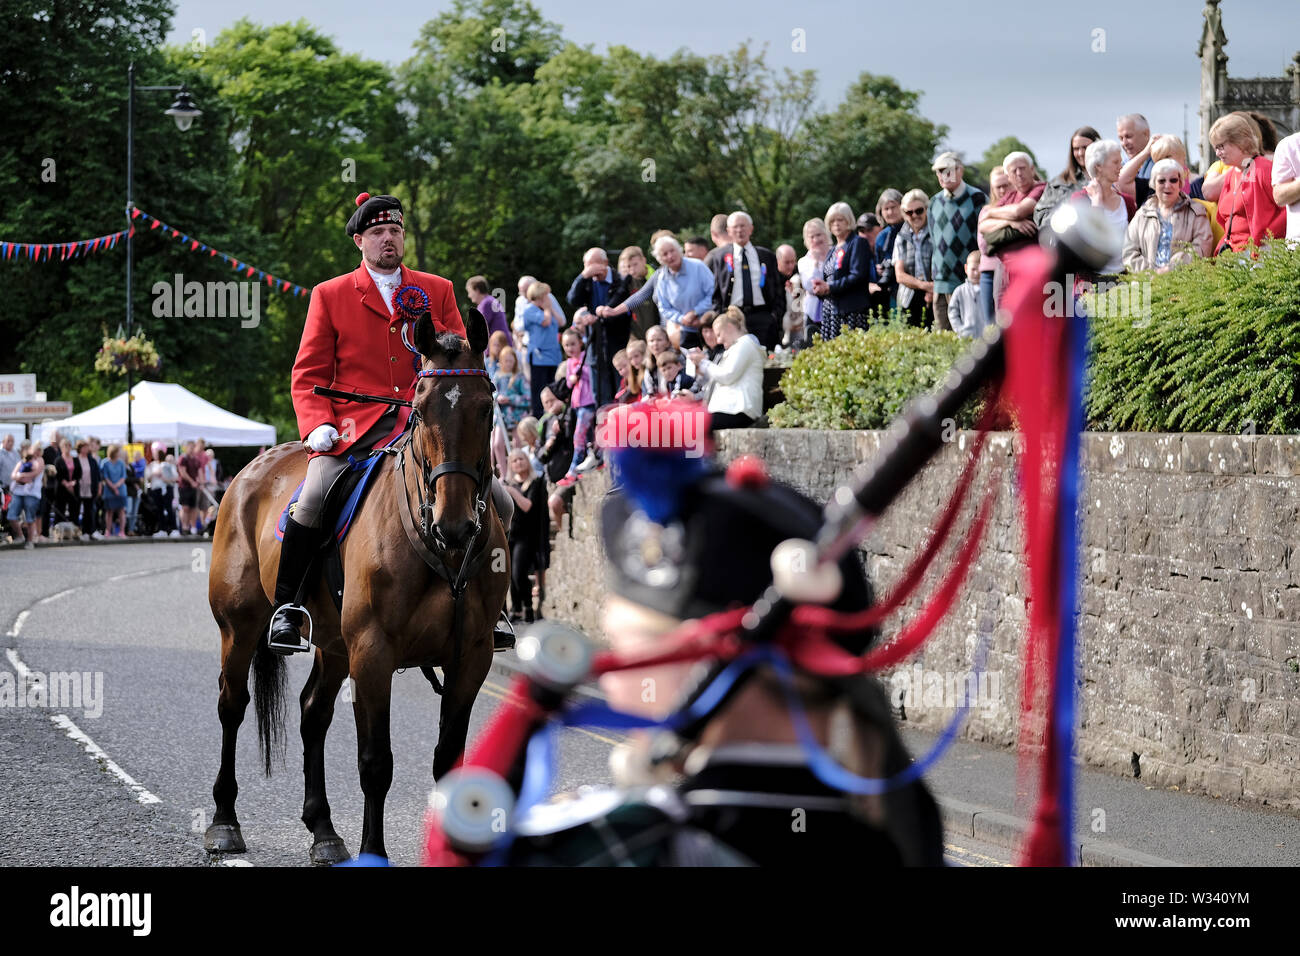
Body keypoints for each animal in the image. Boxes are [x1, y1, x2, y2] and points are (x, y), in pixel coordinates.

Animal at [202, 310, 506, 863]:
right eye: (421, 409)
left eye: (485, 407)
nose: (454, 525)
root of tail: (251, 468)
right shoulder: (373, 652)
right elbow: (375, 762)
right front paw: (374, 851)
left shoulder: (471, 656)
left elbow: (449, 760)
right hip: (240, 627)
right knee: (232, 705)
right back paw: (224, 821)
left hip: (332, 642)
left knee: (312, 713)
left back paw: (323, 830)